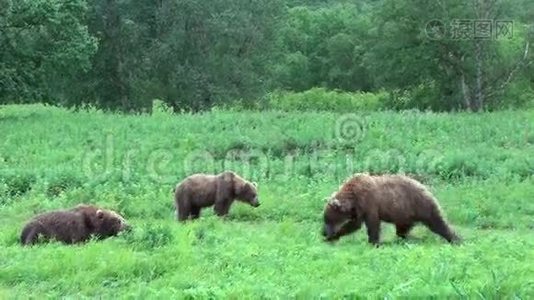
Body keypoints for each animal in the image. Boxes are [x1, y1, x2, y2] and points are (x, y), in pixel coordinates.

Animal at [322, 173, 460, 246]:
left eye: (328, 219)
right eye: (325, 219)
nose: (323, 232)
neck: (352, 196)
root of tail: (424, 187)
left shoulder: (368, 203)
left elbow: (371, 224)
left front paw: (373, 242)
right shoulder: (358, 208)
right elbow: (355, 224)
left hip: (419, 205)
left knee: (437, 222)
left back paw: (455, 239)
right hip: (404, 214)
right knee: (402, 230)